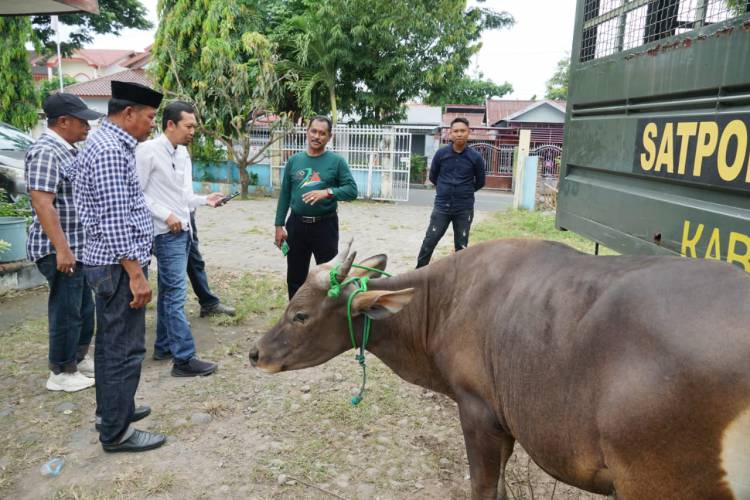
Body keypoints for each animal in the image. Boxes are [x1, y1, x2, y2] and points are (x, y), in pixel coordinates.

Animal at [251, 240, 750, 498]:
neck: (444, 303)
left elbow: (484, 486)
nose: (256, 353)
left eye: (300, 314)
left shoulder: (478, 414)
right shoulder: (504, 423)